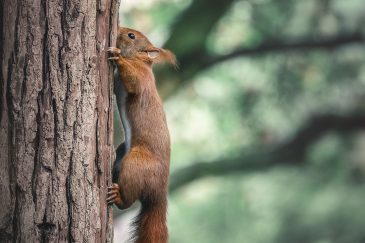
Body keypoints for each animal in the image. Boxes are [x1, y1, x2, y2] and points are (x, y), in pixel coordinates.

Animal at [106, 27, 176, 243]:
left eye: (131, 36)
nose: (119, 28)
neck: (140, 61)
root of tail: (159, 192)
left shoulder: (141, 79)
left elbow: (134, 83)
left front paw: (118, 56)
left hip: (135, 164)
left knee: (127, 201)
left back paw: (118, 196)